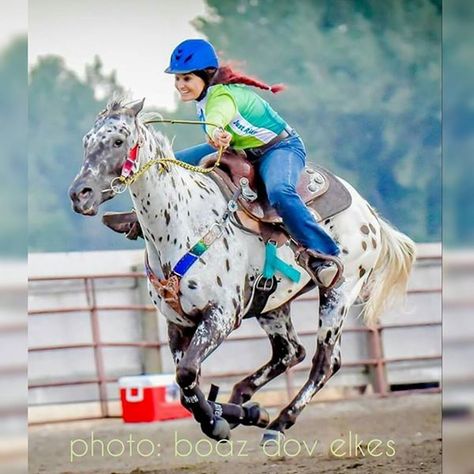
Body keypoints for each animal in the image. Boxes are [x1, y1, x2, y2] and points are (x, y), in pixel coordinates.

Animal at [69, 98, 414, 442]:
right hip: (273, 305)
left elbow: (187, 374)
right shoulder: (177, 324)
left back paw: (279, 423)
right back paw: (243, 401)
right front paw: (238, 414)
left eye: (118, 141)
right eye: (86, 142)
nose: (79, 194)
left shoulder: (221, 315)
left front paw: (219, 422)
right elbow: (186, 386)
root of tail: (368, 212)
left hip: (339, 292)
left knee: (325, 361)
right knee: (290, 352)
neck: (183, 224)